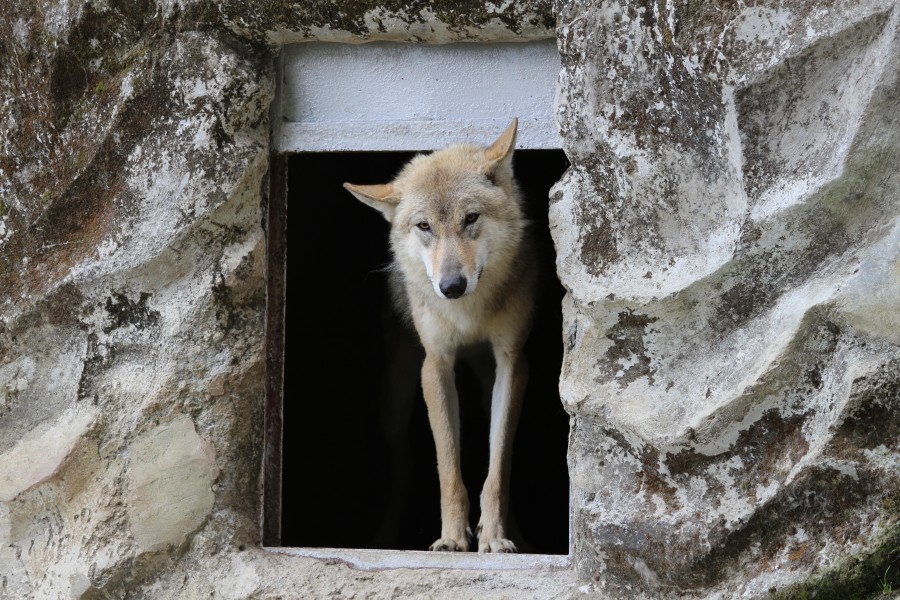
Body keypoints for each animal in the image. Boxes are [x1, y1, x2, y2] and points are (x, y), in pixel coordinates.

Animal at [344, 119, 535, 553]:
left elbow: (497, 471)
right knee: (403, 468)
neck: (468, 314)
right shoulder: (436, 366)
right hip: (396, 399)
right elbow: (448, 470)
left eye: (470, 218)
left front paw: (494, 538)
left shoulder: (511, 363)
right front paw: (451, 539)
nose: (451, 286)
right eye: (424, 226)